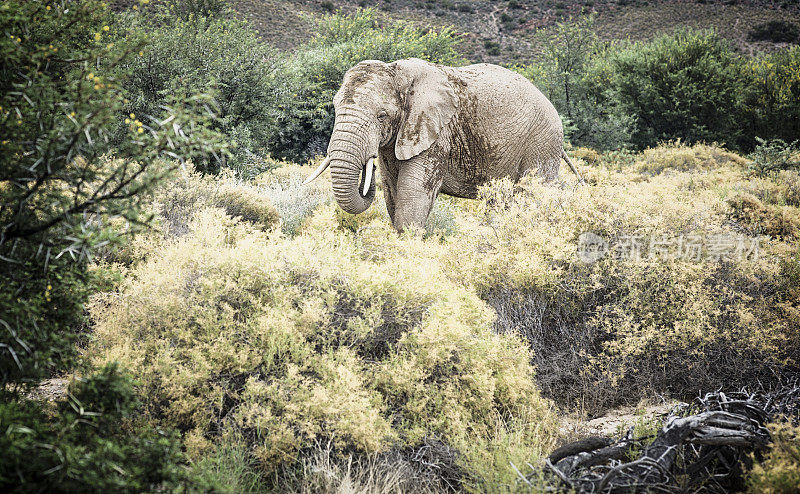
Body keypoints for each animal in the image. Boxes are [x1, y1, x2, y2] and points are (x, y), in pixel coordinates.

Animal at [304, 57, 580, 232]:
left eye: (381, 115)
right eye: (335, 107)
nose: (364, 179)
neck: (398, 73)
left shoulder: (437, 134)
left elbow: (413, 194)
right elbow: (392, 191)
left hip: (543, 140)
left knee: (534, 192)